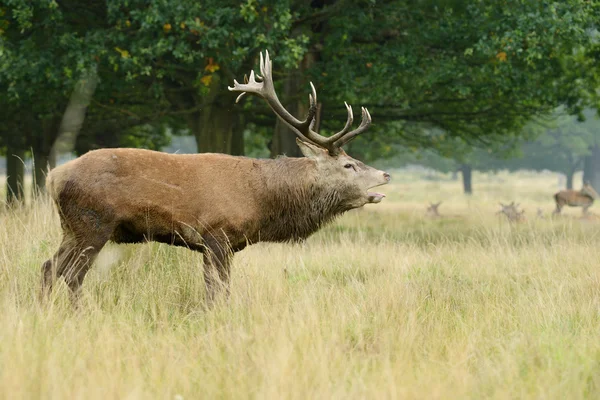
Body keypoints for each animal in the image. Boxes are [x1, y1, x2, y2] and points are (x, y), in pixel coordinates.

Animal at [41, 50, 390, 304]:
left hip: (70, 228)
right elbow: (219, 291)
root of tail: (53, 177)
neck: (261, 201)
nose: (385, 174)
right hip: (93, 222)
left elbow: (215, 290)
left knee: (48, 267)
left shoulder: (221, 245)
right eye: (348, 165)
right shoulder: (216, 235)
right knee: (72, 275)